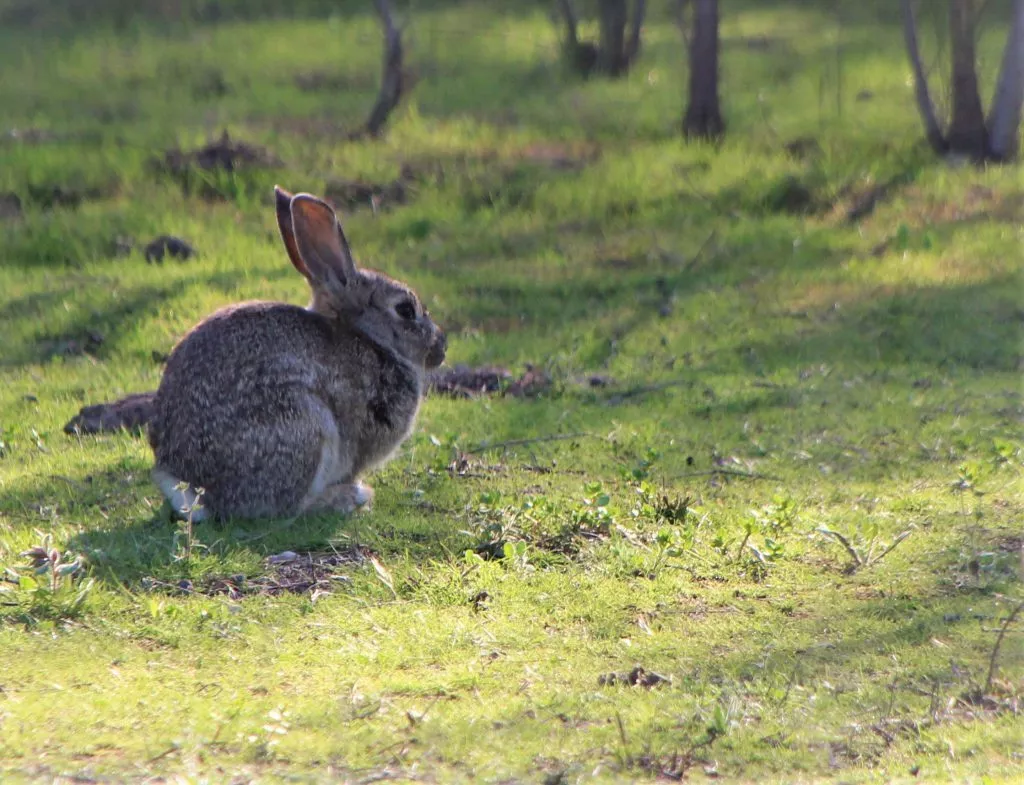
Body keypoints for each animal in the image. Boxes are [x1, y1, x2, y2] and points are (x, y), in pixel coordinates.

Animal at [147, 186, 448, 521]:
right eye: (406, 310)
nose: (441, 347)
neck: (368, 338)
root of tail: (190, 486)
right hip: (304, 425)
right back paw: (346, 498)